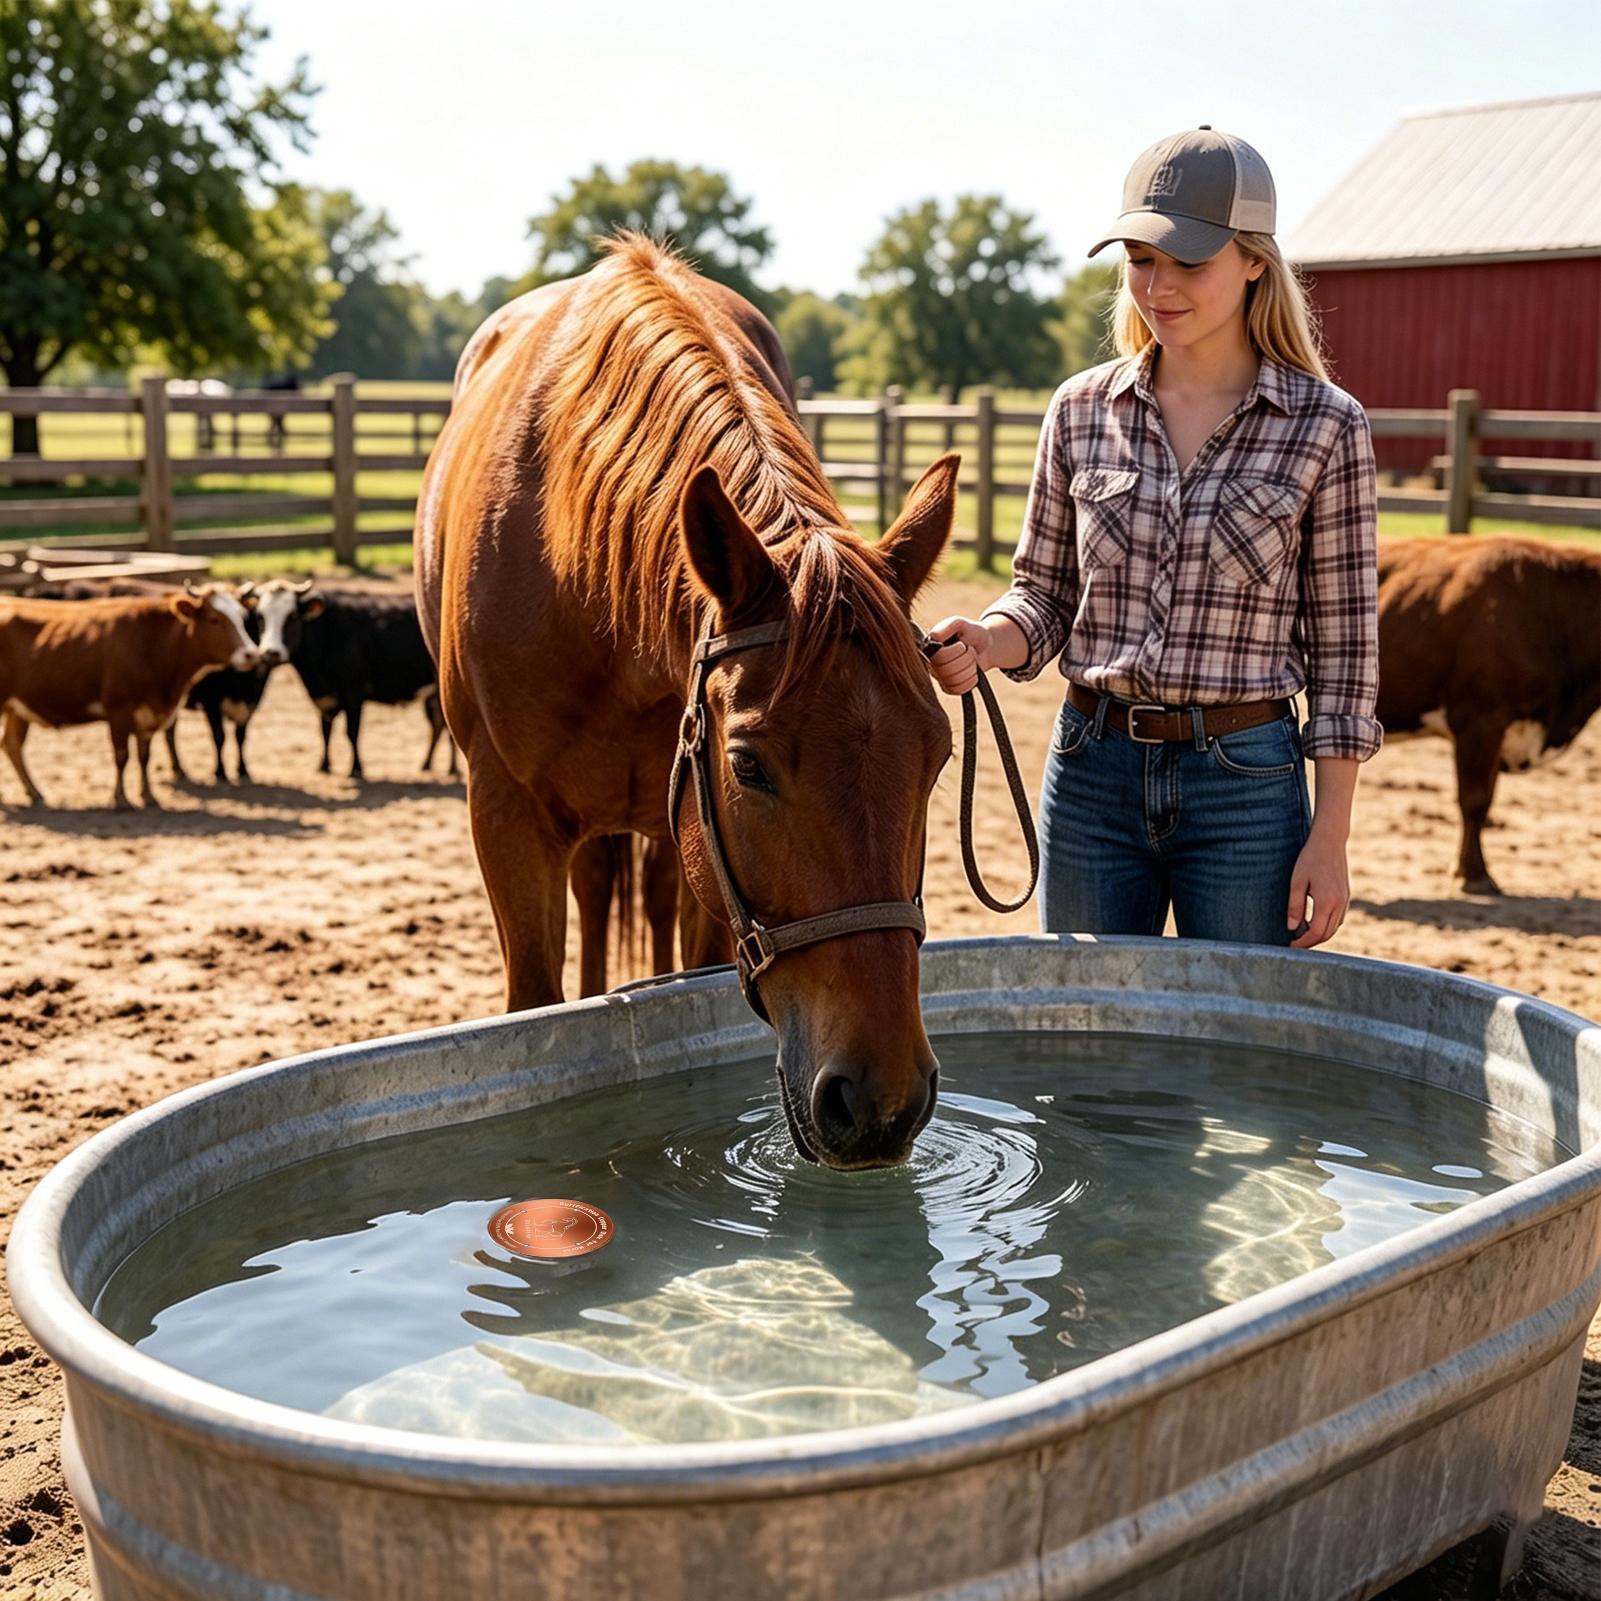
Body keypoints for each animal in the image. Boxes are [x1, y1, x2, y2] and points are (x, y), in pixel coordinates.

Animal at [0, 584, 260, 810]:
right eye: (214, 619)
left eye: (242, 618)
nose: (251, 654)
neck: (154, 642)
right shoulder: (118, 710)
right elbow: (122, 756)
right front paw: (121, 799)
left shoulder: (147, 714)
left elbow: (144, 757)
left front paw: (148, 796)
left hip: (17, 709)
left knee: (12, 745)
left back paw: (35, 793)